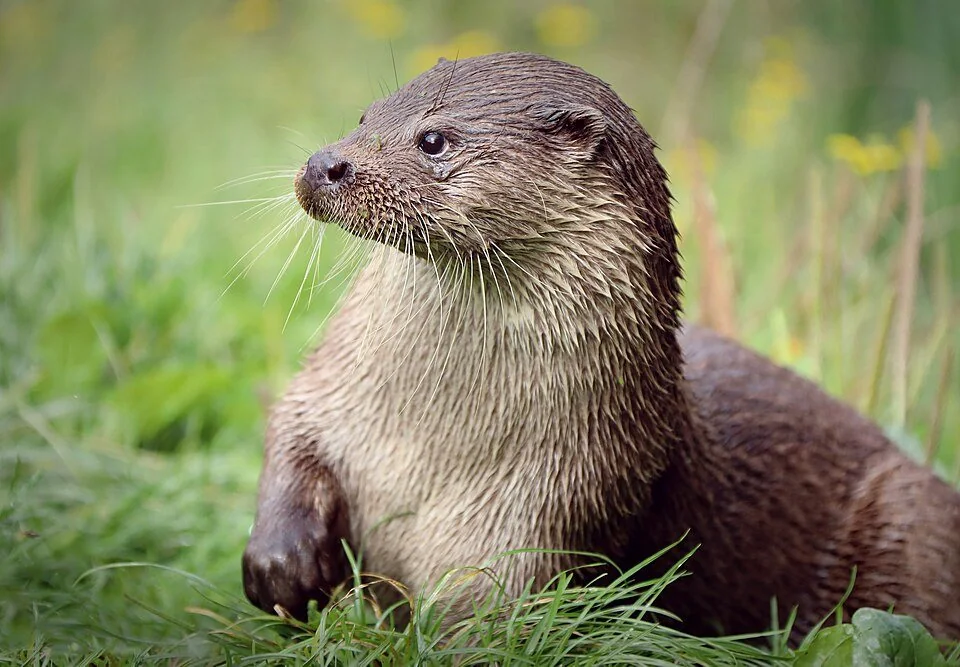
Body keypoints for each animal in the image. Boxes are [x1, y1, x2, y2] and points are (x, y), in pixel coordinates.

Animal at [241, 52, 960, 640]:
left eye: (434, 138)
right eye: (365, 115)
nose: (324, 165)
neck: (424, 445)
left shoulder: (553, 502)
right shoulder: (330, 393)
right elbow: (289, 427)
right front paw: (281, 561)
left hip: (914, 521)